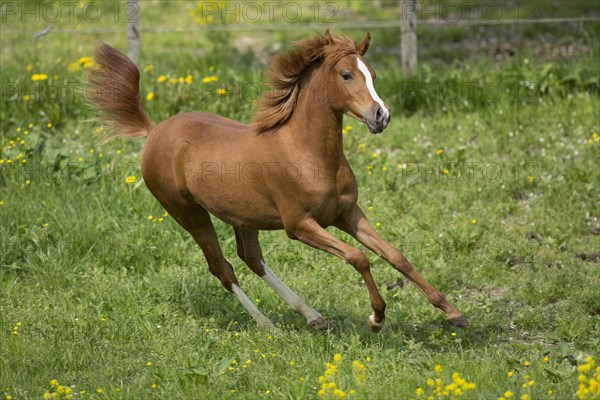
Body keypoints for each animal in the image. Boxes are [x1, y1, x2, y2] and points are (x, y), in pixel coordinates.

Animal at [86, 30, 466, 332]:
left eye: (371, 74)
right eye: (346, 75)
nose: (381, 116)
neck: (308, 154)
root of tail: (153, 131)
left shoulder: (347, 214)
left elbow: (395, 255)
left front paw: (453, 313)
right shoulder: (299, 225)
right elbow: (358, 257)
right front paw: (376, 318)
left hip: (242, 218)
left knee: (251, 258)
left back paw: (313, 316)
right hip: (188, 214)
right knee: (222, 268)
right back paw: (267, 325)